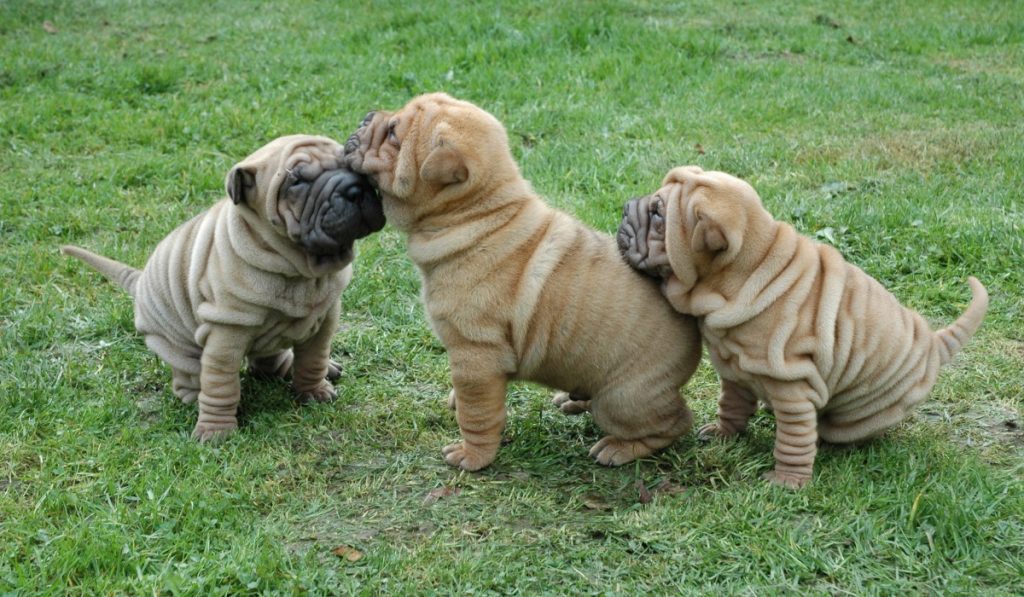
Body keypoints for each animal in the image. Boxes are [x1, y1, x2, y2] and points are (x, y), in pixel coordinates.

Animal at [61, 136, 385, 444]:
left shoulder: (325, 317)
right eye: (297, 181)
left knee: (268, 361)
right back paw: (198, 399)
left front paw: (314, 390)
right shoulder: (226, 333)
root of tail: (140, 280)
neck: (295, 267)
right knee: (191, 381)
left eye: (351, 163)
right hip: (176, 347)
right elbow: (220, 383)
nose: (355, 186)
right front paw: (216, 430)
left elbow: (313, 359)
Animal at [339, 93, 700, 471]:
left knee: (673, 423)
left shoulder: (476, 352)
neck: (480, 213)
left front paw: (472, 457)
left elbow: (478, 414)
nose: (367, 117)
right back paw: (573, 401)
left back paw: (619, 448)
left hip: (622, 398)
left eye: (393, 134)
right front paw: (456, 401)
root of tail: (693, 329)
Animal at [618, 165, 987, 487]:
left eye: (657, 214)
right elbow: (732, 405)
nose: (624, 208)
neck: (747, 270)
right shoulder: (733, 369)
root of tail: (932, 342)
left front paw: (787, 482)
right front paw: (723, 434)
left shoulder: (793, 388)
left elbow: (793, 440)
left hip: (864, 412)